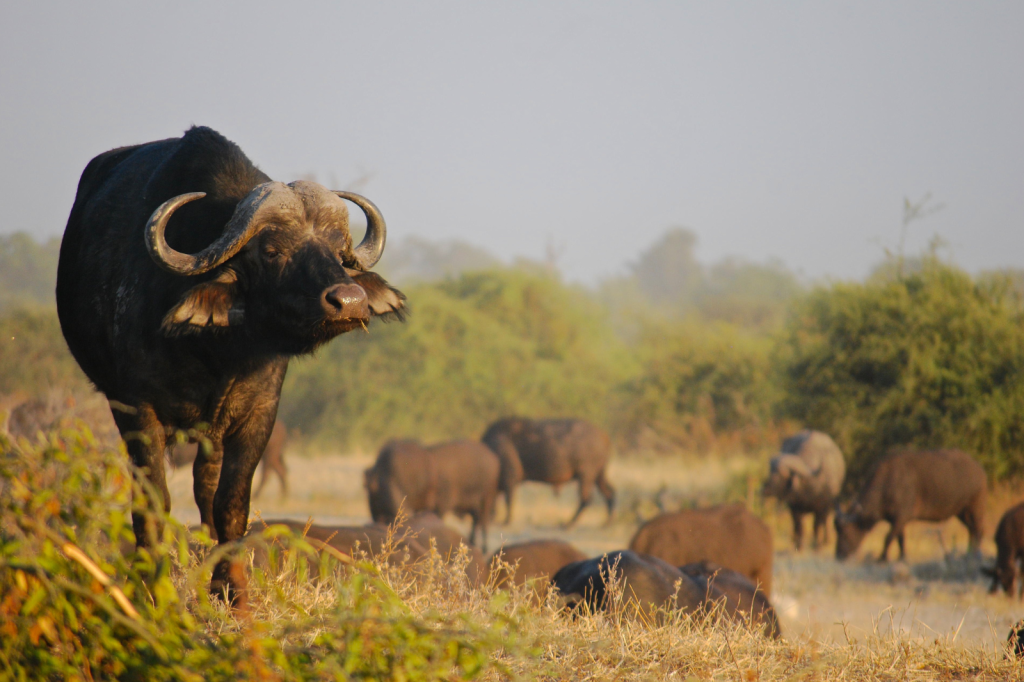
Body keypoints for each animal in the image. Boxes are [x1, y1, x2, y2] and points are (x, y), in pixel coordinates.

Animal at [54, 123, 401, 606]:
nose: (349, 302)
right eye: (271, 251)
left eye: (339, 251)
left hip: (212, 437)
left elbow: (231, 504)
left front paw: (231, 590)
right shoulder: (137, 410)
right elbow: (154, 502)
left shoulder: (257, 415)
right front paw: (152, 588)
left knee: (205, 490)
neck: (217, 353)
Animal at [481, 413, 614, 524]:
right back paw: (606, 523)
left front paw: (506, 521)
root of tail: (604, 436)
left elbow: (508, 500)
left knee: (586, 499)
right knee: (610, 492)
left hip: (586, 475)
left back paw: (568, 524)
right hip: (598, 475)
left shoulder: (510, 478)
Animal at [835, 446, 987, 557]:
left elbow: (888, 538)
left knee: (979, 530)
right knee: (971, 530)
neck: (889, 482)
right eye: (837, 532)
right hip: (962, 512)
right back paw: (969, 553)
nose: (839, 554)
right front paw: (902, 557)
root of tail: (979, 470)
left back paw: (975, 554)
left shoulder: (902, 517)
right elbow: (900, 540)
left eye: (845, 532)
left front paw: (882, 558)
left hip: (976, 507)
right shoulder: (898, 521)